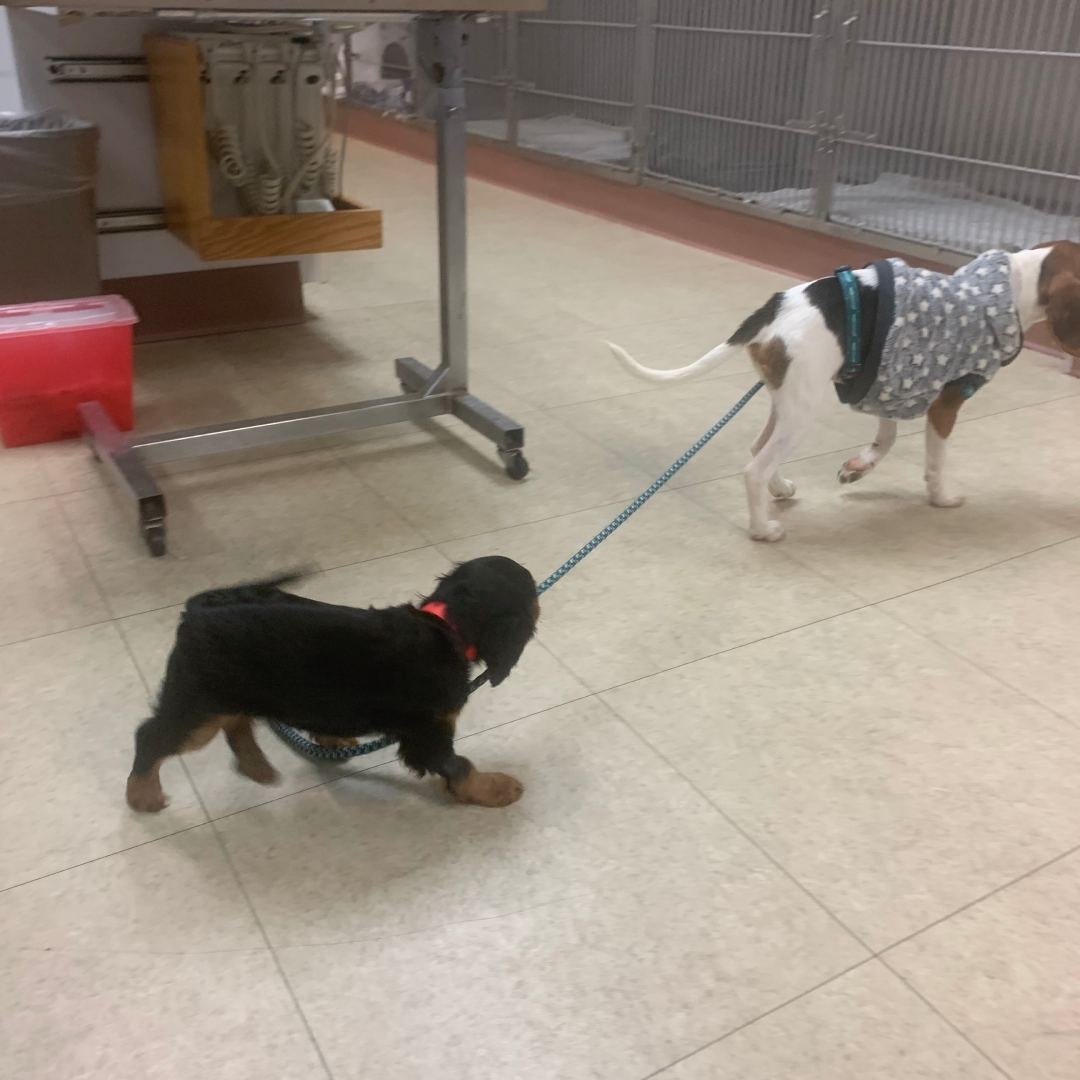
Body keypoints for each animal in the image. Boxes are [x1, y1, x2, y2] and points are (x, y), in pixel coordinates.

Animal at [126, 557, 540, 812]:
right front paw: (494, 788)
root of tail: (197, 610)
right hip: (198, 702)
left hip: (228, 693)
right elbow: (459, 764)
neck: (447, 624)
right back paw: (142, 795)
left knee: (237, 722)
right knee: (151, 735)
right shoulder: (427, 734)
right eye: (532, 591)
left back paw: (258, 765)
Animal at [609, 238, 1080, 537]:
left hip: (787, 399)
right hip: (804, 409)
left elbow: (886, 437)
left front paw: (860, 466)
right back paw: (762, 529)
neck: (1012, 284)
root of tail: (775, 308)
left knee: (760, 450)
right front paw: (941, 497)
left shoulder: (893, 376)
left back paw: (779, 489)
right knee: (754, 467)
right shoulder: (946, 402)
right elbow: (935, 461)